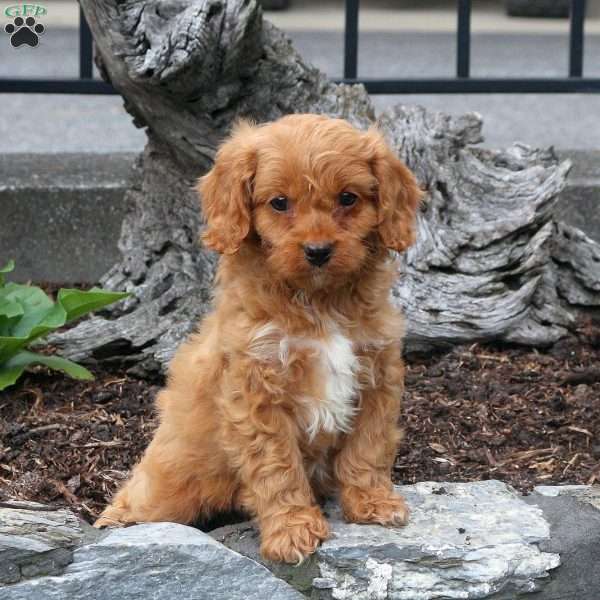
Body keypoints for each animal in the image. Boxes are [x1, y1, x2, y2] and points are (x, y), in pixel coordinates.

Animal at [95, 112, 422, 564]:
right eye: (279, 203)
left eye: (348, 198)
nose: (318, 251)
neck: (319, 301)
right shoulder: (256, 393)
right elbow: (277, 466)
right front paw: (293, 530)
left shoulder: (377, 375)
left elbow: (368, 446)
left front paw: (373, 502)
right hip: (170, 484)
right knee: (138, 500)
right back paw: (114, 524)